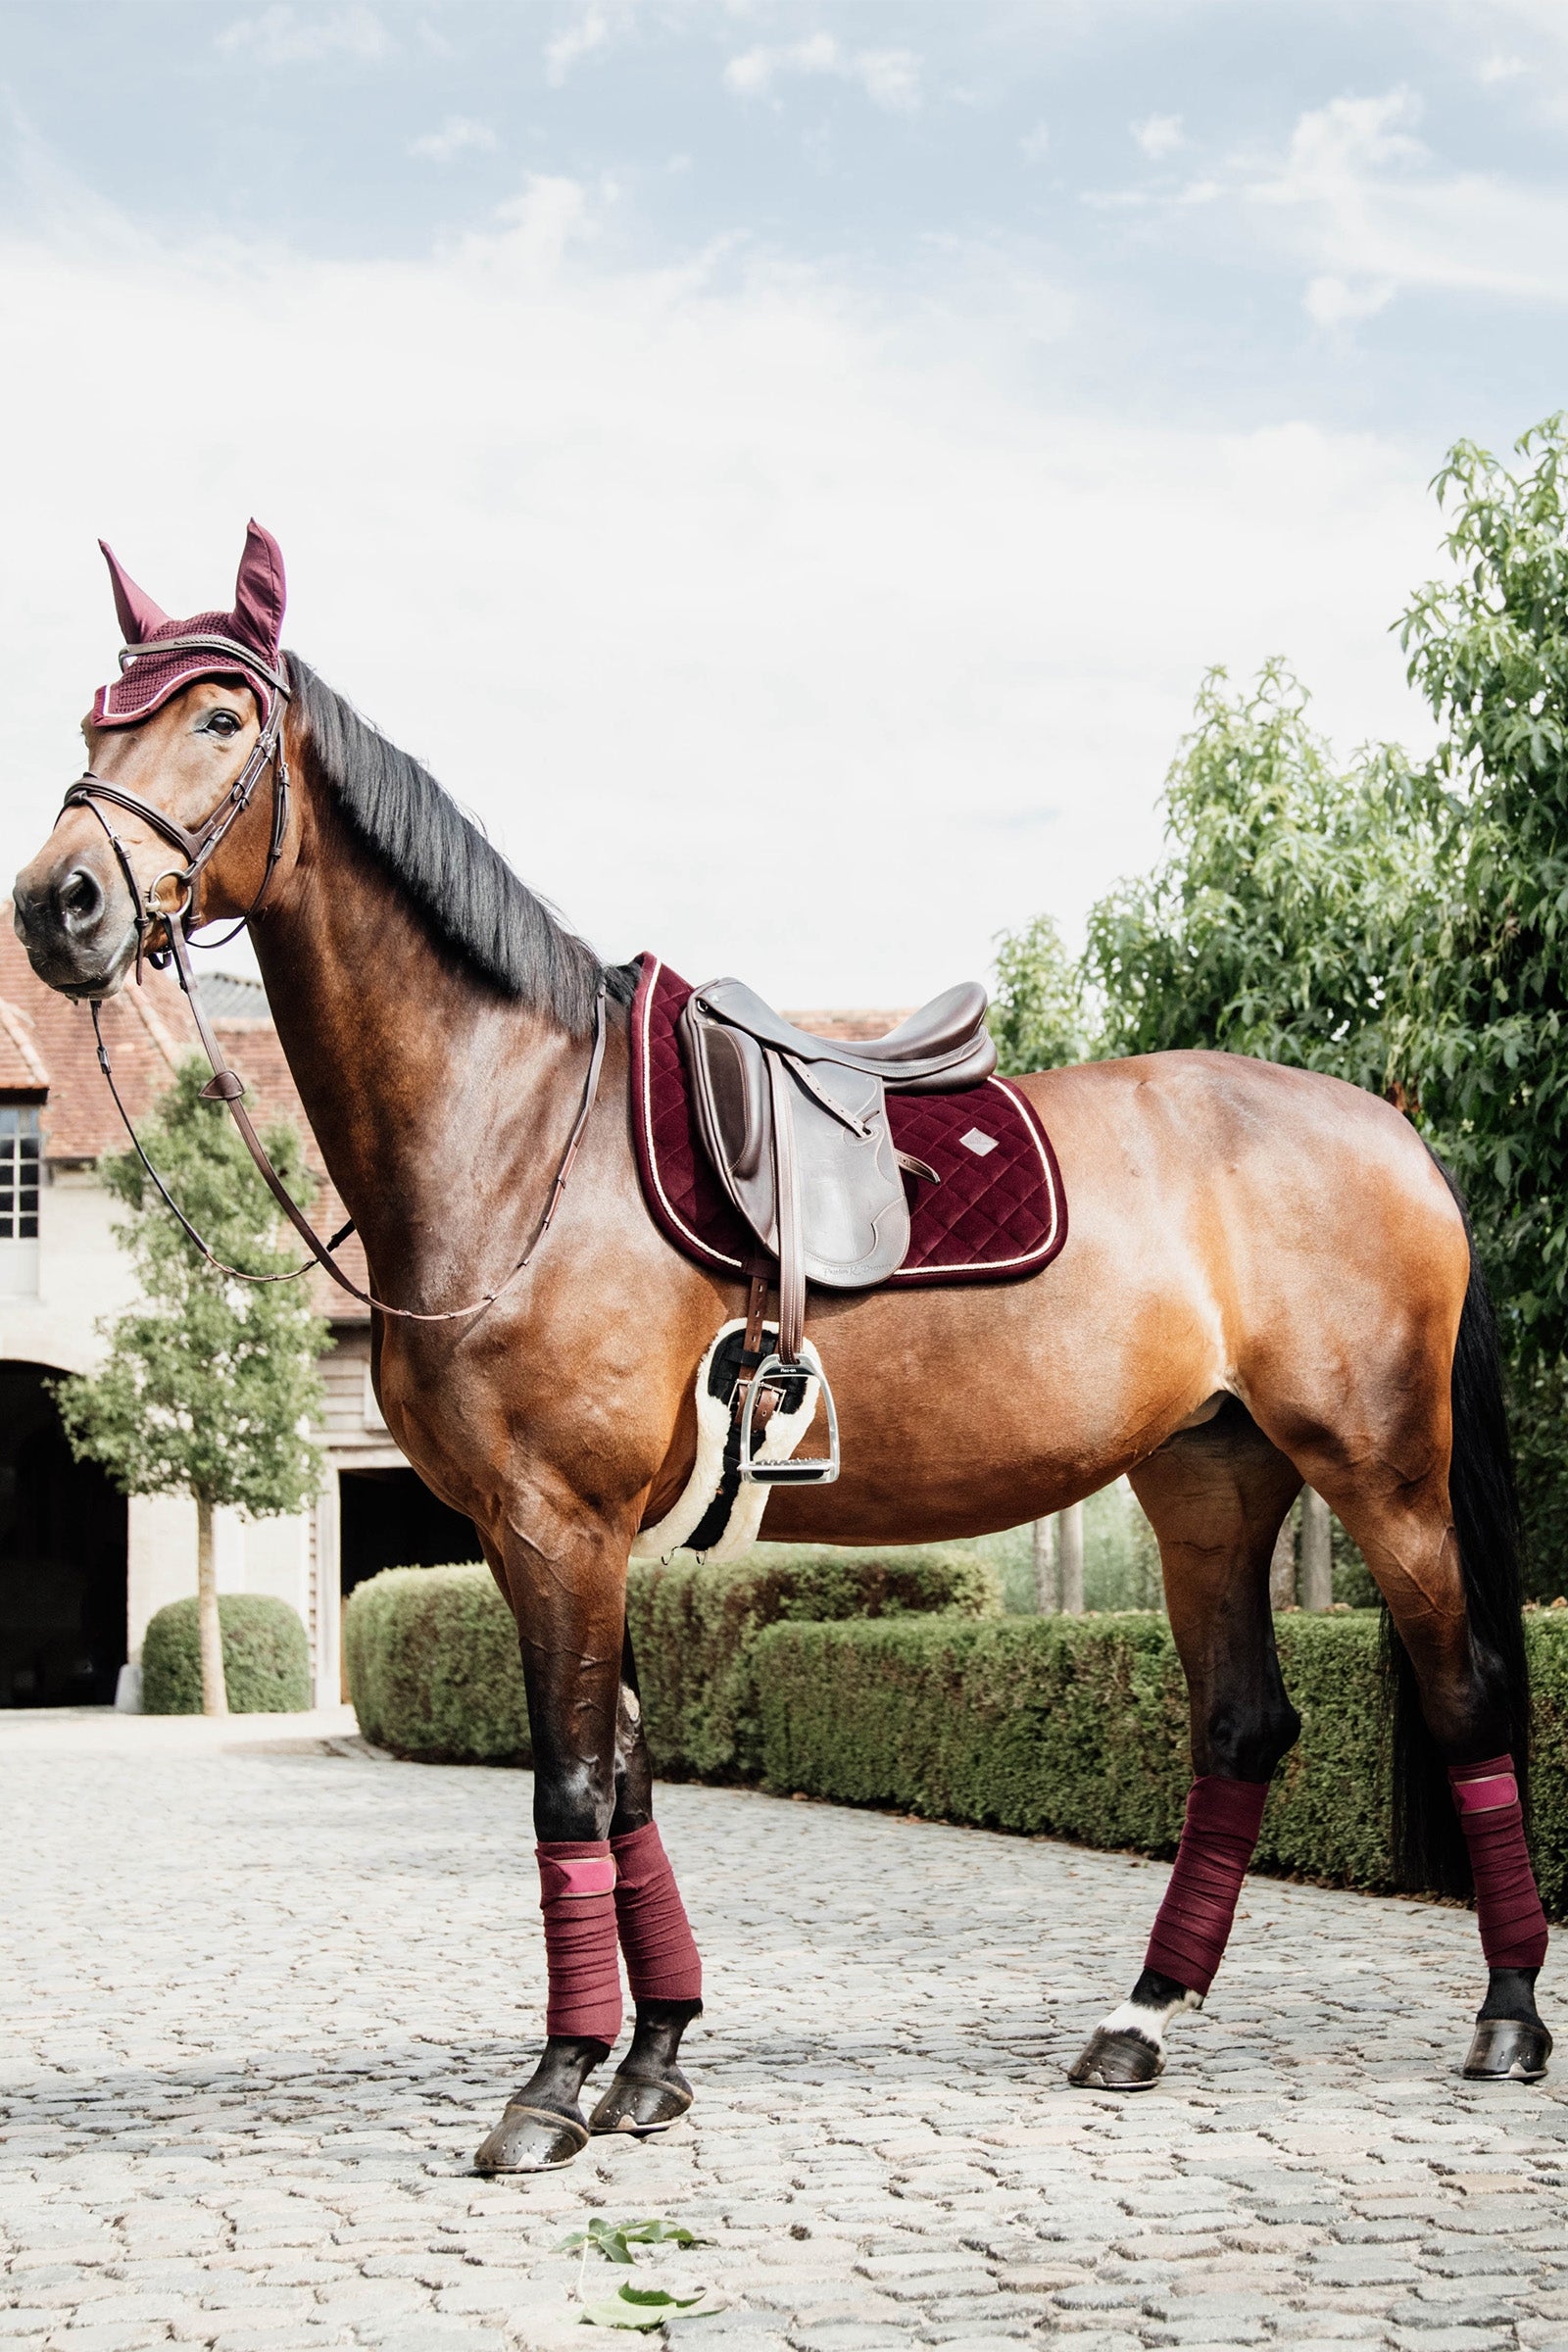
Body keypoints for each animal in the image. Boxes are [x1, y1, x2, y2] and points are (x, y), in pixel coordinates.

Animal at [13, 524, 1550, 2174]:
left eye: (218, 717)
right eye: (97, 718)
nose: (58, 905)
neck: (520, 1132)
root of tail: (1391, 1128)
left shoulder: (560, 1524)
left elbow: (568, 1788)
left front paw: (551, 2088)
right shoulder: (543, 1534)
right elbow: (625, 1780)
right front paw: (652, 2060)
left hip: (1381, 1470)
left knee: (1465, 1696)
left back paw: (1507, 2019)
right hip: (1210, 1479)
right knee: (1245, 1727)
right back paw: (1139, 2023)